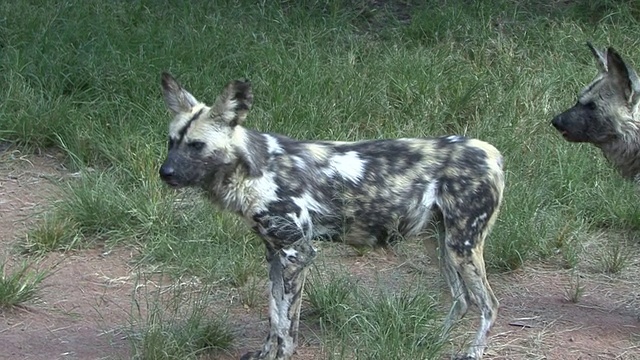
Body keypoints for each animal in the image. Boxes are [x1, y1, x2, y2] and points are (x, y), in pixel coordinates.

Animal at [159, 71, 504, 358]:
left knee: (489, 304)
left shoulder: (297, 253)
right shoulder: (274, 254)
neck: (252, 170)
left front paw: (281, 355)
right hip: (440, 244)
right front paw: (265, 353)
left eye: (196, 145)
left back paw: (473, 352)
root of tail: (491, 152)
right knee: (462, 300)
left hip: (462, 247)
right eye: (171, 142)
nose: (165, 173)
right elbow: (276, 318)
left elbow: (286, 326)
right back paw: (429, 343)